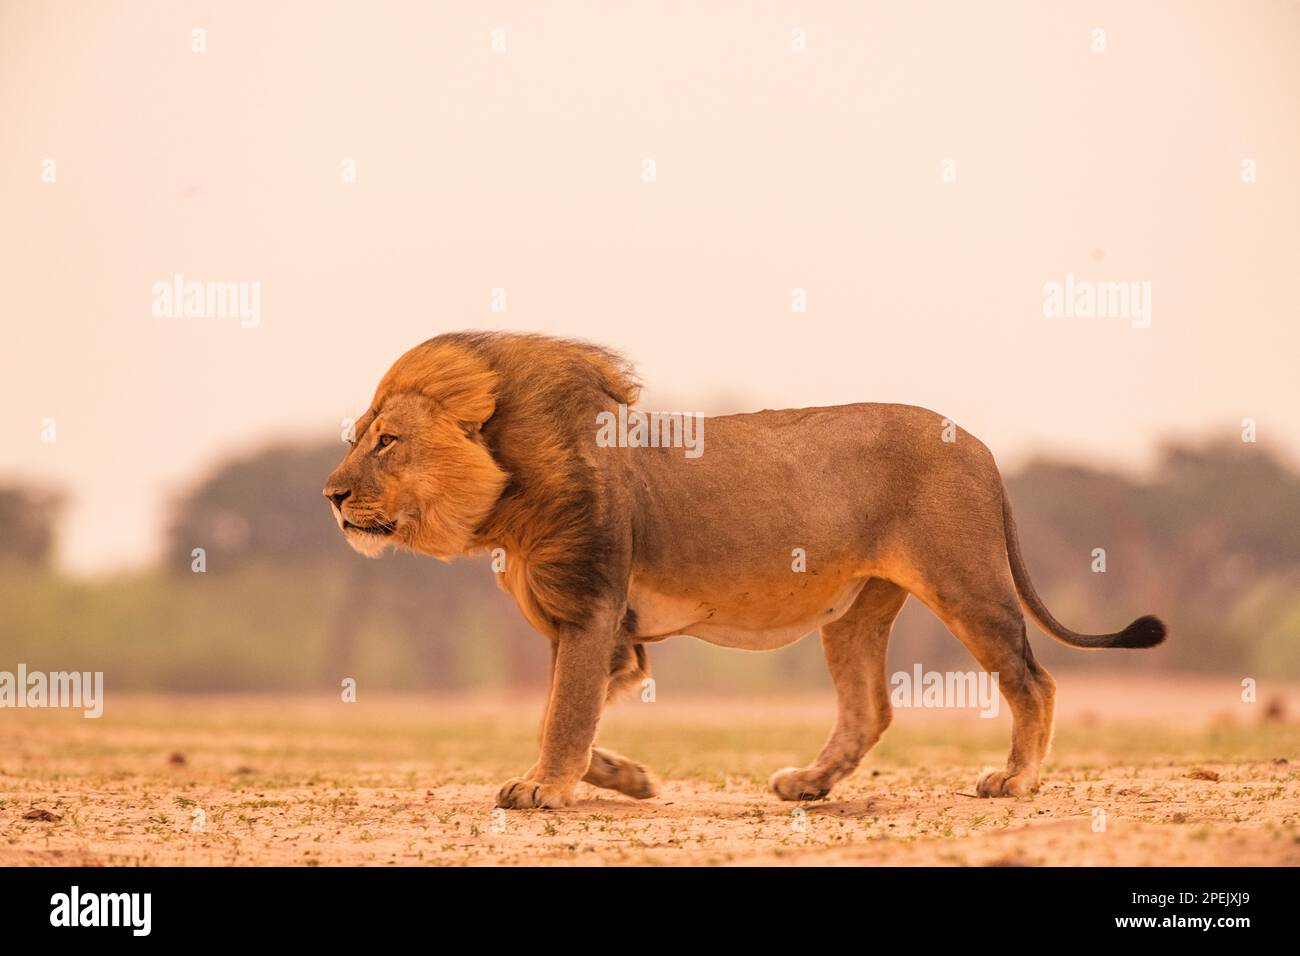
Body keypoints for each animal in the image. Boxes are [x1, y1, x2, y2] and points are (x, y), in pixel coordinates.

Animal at [325, 332, 1170, 811]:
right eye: (360, 436)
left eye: (387, 442)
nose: (330, 495)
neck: (505, 492)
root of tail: (985, 447)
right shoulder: (613, 638)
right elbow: (566, 710)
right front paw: (627, 779)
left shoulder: (591, 612)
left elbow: (564, 713)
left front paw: (545, 787)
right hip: (858, 608)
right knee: (870, 710)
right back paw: (810, 784)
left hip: (967, 584)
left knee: (1034, 679)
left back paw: (1015, 782)